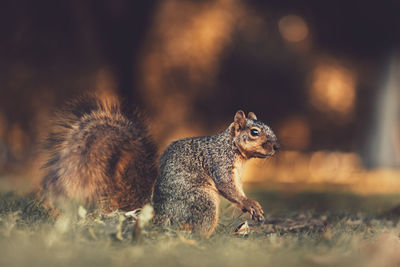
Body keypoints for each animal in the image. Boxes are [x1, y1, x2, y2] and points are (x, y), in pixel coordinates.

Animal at [39, 94, 278, 237]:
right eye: (254, 132)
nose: (276, 146)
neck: (235, 151)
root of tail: (159, 215)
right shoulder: (219, 161)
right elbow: (228, 187)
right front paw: (250, 204)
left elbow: (237, 189)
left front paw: (250, 208)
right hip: (203, 199)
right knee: (192, 228)